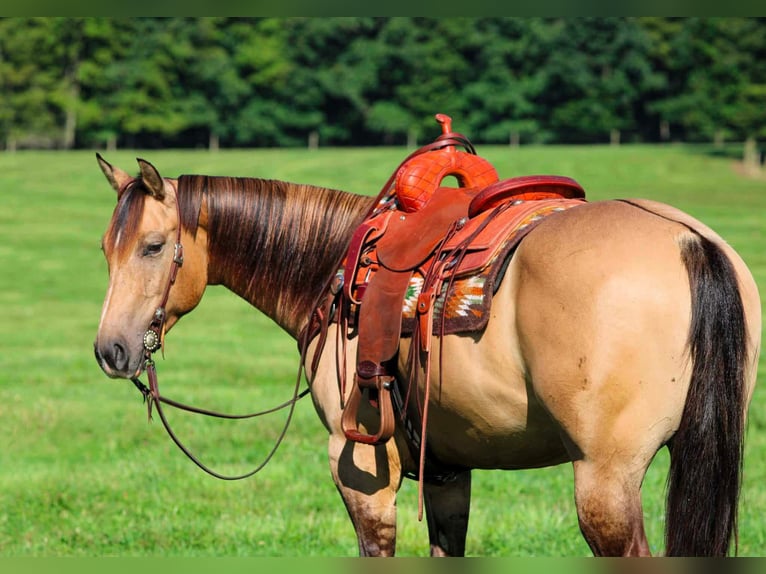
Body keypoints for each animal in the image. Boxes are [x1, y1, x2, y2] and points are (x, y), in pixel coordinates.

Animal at [93, 154, 761, 557]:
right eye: (105, 248)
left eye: (153, 246)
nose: (110, 350)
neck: (333, 270)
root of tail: (687, 241)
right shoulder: (445, 469)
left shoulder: (362, 467)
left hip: (606, 481)